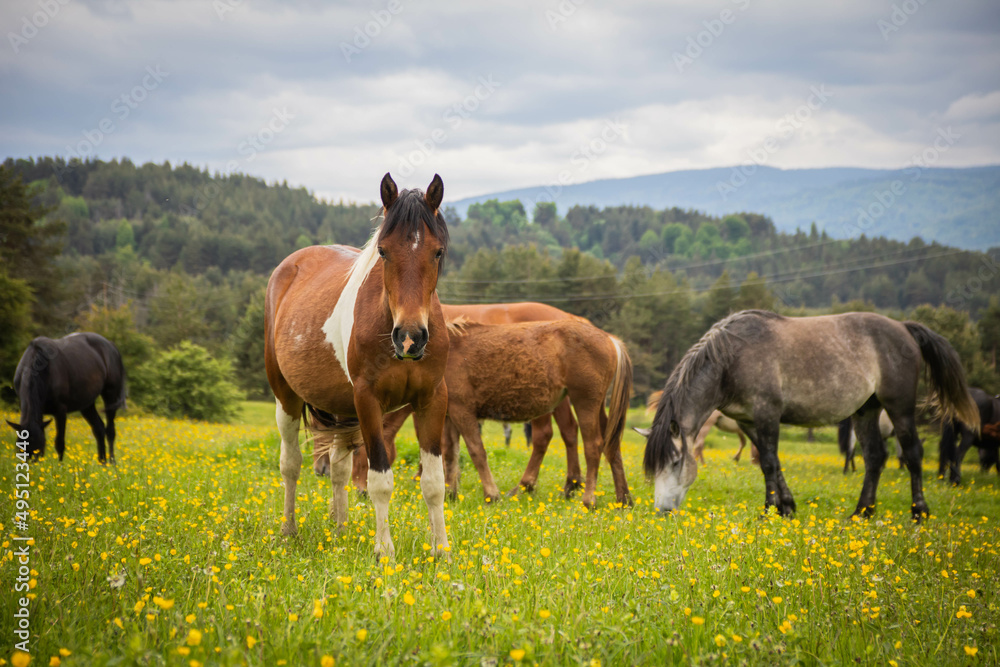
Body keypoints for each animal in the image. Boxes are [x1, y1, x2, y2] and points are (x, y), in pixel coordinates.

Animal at [6, 332, 126, 463]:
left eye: (40, 448)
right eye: (20, 448)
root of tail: (111, 346)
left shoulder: (60, 411)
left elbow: (59, 443)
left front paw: (60, 467)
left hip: (110, 395)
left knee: (110, 431)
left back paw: (112, 463)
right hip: (86, 404)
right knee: (99, 429)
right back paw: (102, 463)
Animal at [264, 173, 451, 559]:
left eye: (437, 251)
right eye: (383, 251)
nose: (409, 338)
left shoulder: (432, 399)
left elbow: (433, 482)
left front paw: (442, 552)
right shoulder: (368, 400)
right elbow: (380, 479)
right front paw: (385, 552)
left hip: (340, 407)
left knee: (338, 467)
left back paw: (340, 529)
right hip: (286, 398)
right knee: (291, 463)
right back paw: (288, 530)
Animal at [640, 310, 979, 521]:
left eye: (675, 462)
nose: (663, 511)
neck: (731, 359)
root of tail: (904, 328)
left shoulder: (767, 415)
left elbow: (768, 461)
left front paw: (771, 510)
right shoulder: (749, 421)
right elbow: (770, 463)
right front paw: (784, 507)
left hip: (899, 407)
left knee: (913, 454)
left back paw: (919, 512)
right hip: (865, 411)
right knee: (875, 457)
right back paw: (862, 513)